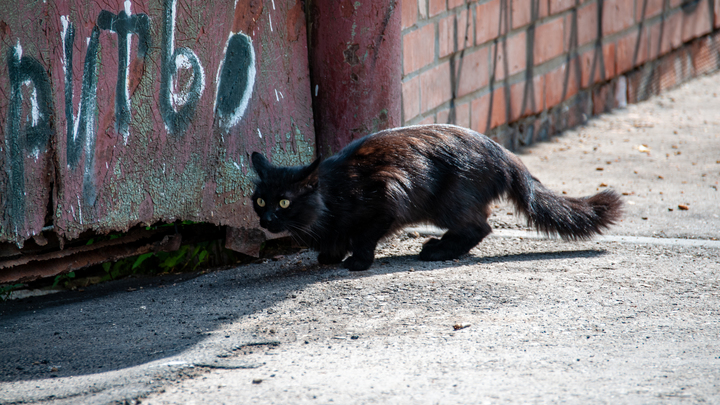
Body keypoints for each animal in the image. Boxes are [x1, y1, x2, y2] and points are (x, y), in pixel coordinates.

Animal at [250, 123, 620, 268]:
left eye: (284, 201)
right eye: (260, 201)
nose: (266, 220)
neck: (330, 197)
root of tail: (503, 152)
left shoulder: (387, 198)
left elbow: (365, 236)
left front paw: (356, 261)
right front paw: (331, 254)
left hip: (448, 202)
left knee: (480, 228)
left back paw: (437, 251)